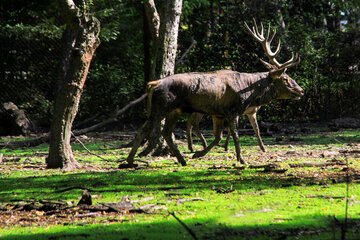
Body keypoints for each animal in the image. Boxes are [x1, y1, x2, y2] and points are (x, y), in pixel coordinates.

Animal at [125, 19, 302, 167]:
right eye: (285, 78)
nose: (300, 90)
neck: (249, 93)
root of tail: (153, 84)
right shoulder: (232, 110)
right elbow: (235, 135)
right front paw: (242, 159)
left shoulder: (218, 114)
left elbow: (218, 137)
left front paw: (198, 154)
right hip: (162, 105)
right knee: (145, 129)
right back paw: (130, 160)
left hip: (175, 109)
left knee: (166, 132)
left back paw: (182, 159)